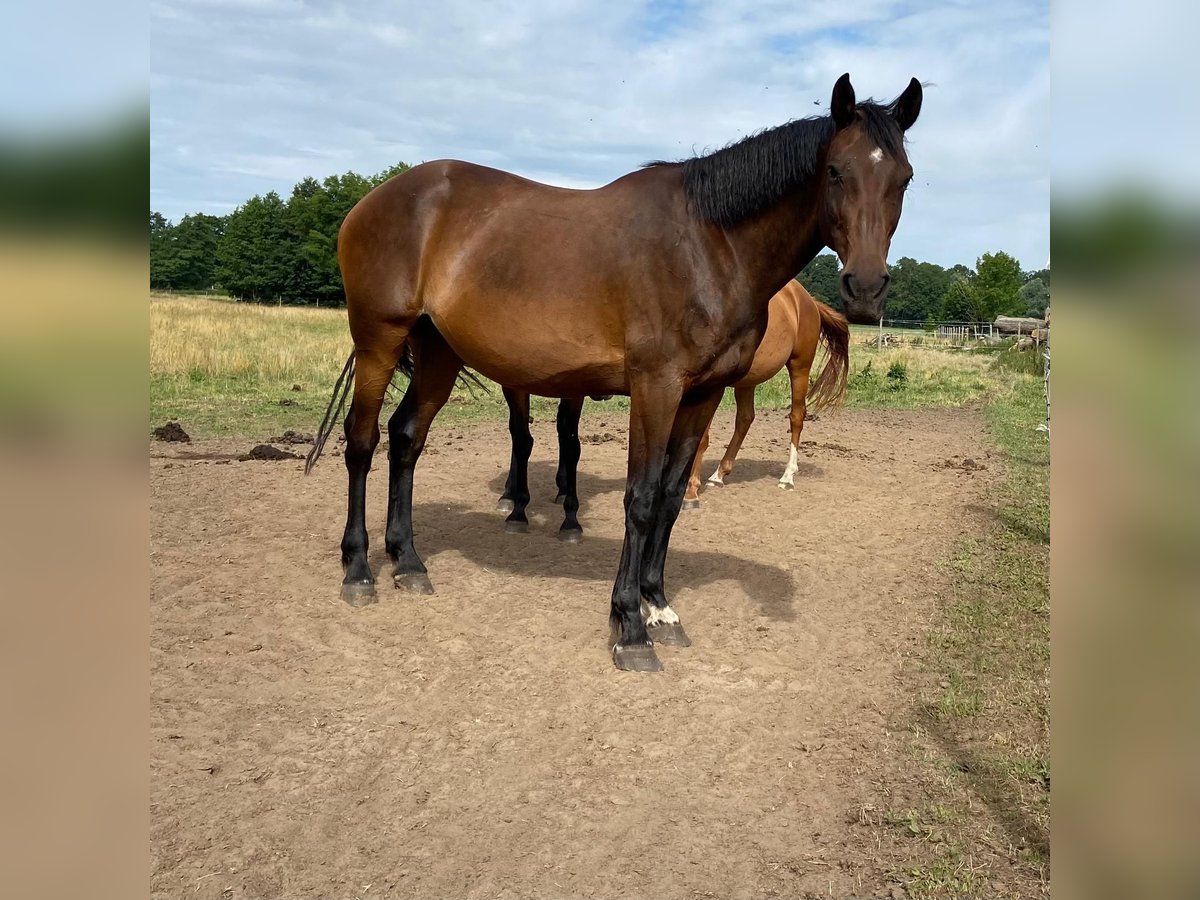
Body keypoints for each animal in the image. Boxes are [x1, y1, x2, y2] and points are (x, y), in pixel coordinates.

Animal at [307, 75, 916, 672]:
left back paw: (408, 562)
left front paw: (659, 606)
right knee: (362, 442)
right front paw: (629, 626)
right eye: (835, 171)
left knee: (406, 438)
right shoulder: (655, 387)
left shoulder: (704, 393)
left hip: (438, 353)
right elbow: (641, 498)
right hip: (379, 341)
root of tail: (375, 199)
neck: (709, 244)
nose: (866, 287)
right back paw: (359, 569)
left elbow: (671, 496)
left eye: (904, 179)